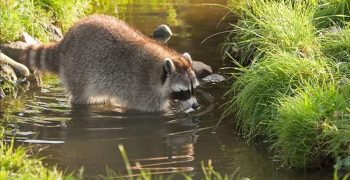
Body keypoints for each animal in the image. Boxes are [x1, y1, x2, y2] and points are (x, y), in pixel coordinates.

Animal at [19, 14, 200, 112]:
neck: (157, 72)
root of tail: (65, 42)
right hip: (77, 70)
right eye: (184, 91)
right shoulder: (144, 92)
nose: (196, 106)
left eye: (194, 89)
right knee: (81, 97)